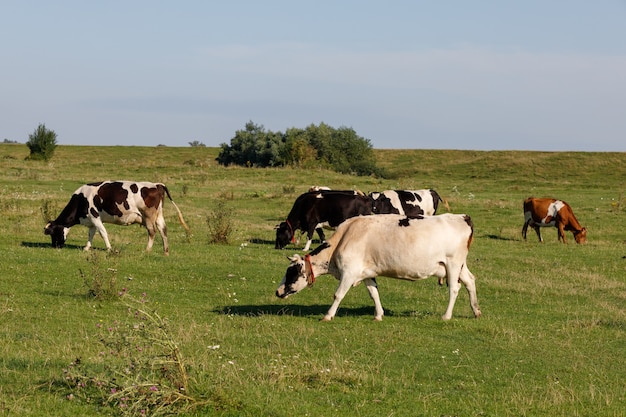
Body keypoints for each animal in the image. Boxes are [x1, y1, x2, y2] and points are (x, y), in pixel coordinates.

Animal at [44, 181, 188, 255]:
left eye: (53, 233)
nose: (55, 246)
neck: (81, 199)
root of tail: (157, 184)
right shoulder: (91, 220)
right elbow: (91, 234)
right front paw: (86, 248)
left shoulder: (95, 216)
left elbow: (103, 233)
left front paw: (109, 249)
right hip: (158, 215)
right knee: (164, 230)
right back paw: (166, 251)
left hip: (148, 216)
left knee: (152, 231)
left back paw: (147, 250)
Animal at [274, 213, 482, 320]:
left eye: (291, 272)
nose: (277, 291)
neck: (345, 237)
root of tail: (462, 217)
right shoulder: (366, 272)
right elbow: (374, 293)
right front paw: (379, 315)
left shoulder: (349, 272)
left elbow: (338, 295)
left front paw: (328, 315)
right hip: (459, 265)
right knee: (470, 281)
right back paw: (476, 311)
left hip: (453, 264)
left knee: (454, 288)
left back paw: (446, 316)